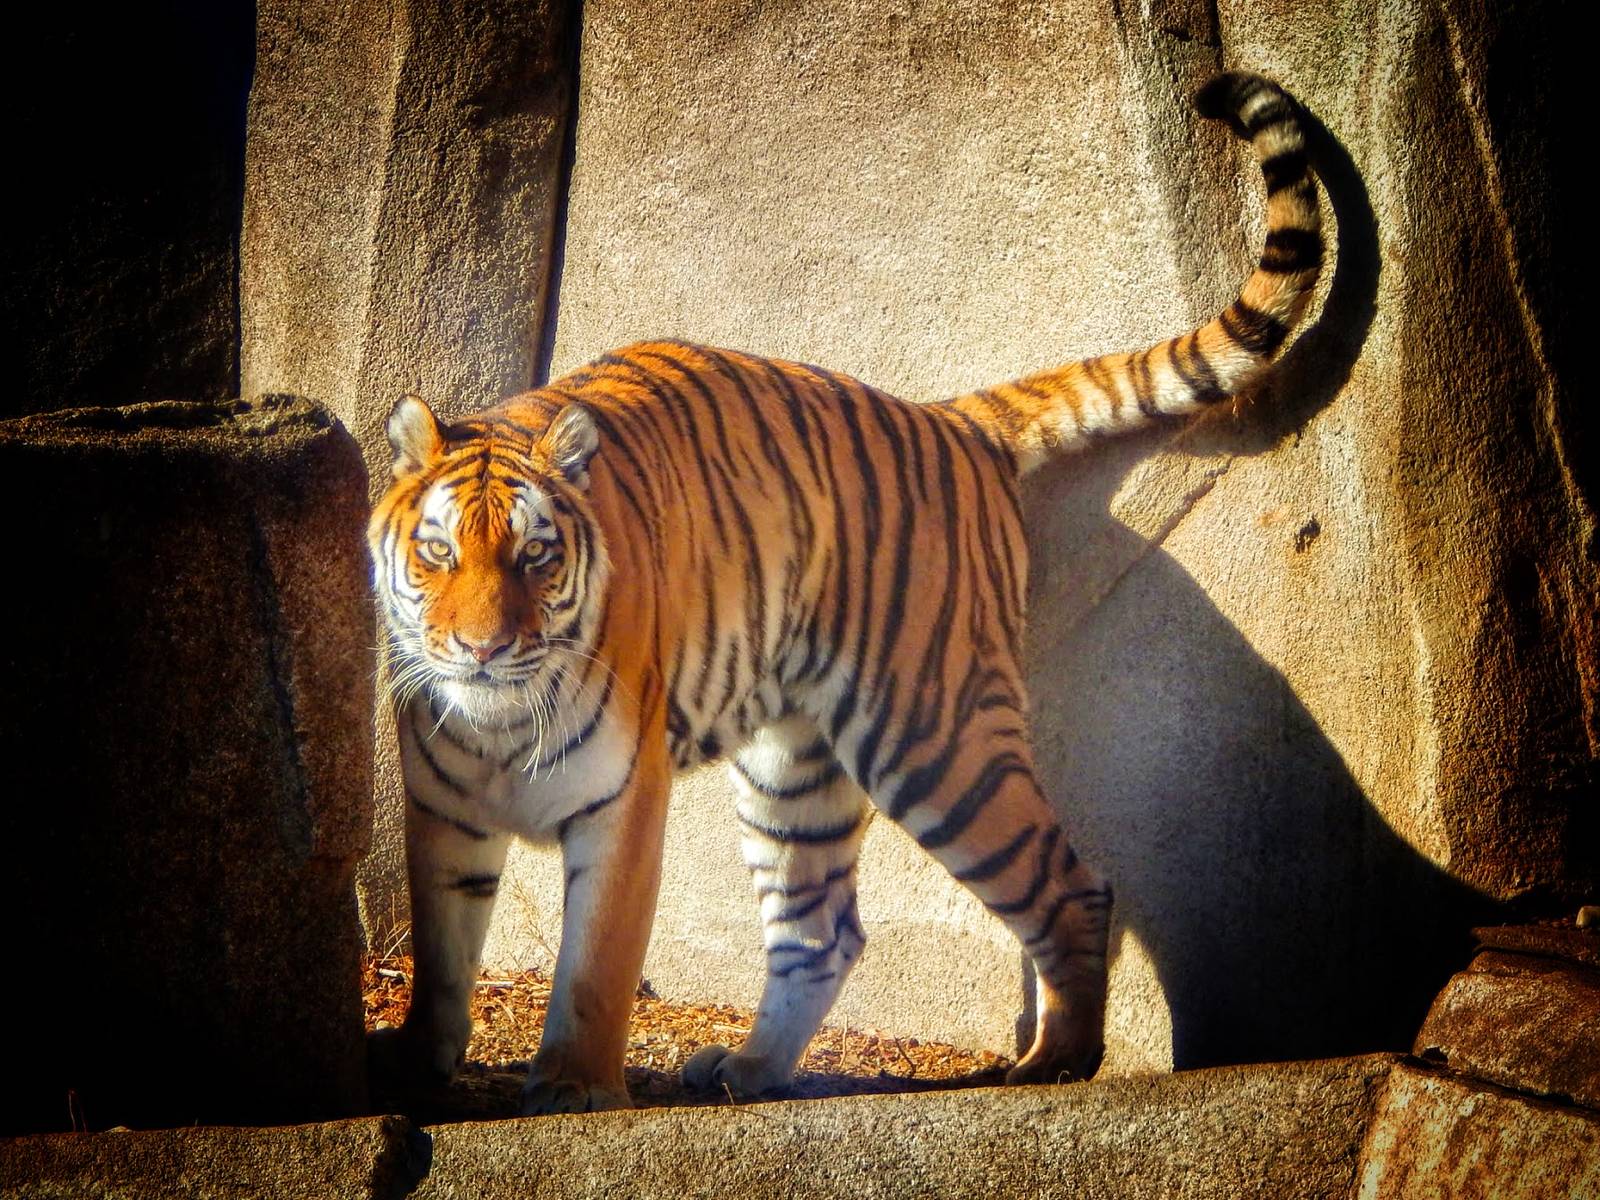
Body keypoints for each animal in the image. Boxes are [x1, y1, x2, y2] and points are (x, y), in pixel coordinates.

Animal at [366, 71, 1322, 1114]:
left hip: (937, 736)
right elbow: (441, 961)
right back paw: (751, 1070)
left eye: (536, 556)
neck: (499, 719)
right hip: (794, 765)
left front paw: (575, 1088)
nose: (483, 649)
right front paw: (413, 1071)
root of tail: (948, 420)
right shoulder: (444, 816)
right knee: (821, 930)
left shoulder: (623, 803)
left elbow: (595, 965)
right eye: (438, 553)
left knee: (1070, 887)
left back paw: (1053, 1063)